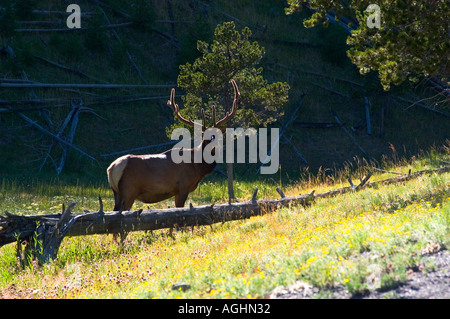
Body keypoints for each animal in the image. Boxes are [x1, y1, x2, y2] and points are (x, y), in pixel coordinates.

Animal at [107, 79, 241, 214]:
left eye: (218, 134)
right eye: (204, 135)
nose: (212, 143)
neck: (198, 166)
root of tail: (112, 168)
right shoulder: (183, 186)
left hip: (117, 193)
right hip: (129, 191)